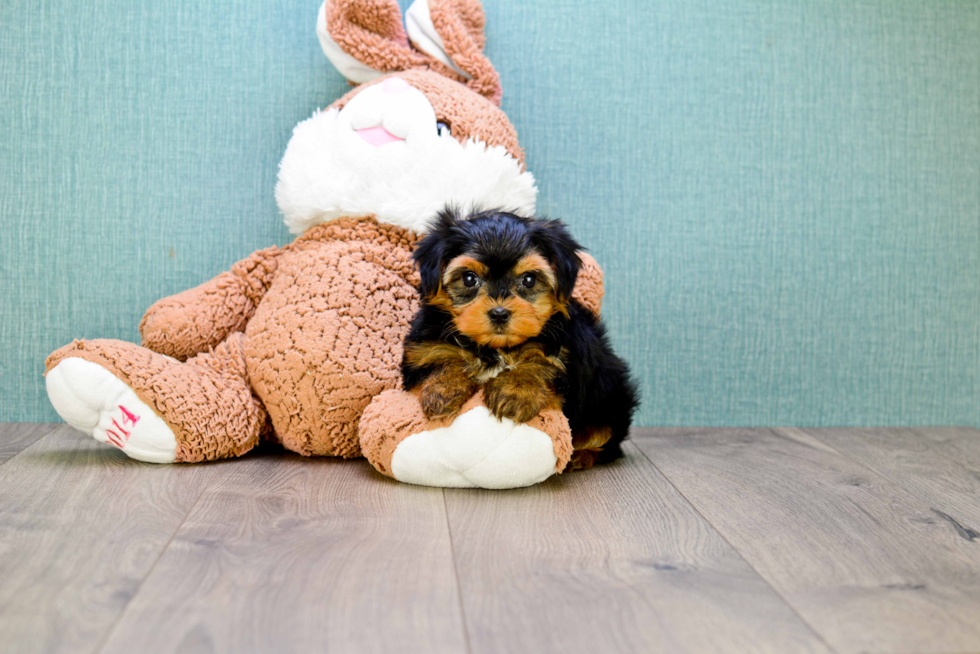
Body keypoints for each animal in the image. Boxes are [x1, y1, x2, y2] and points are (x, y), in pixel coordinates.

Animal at [402, 208, 640, 468]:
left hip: (610, 396)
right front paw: (443, 390)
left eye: (529, 279)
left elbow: (539, 362)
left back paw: (582, 455)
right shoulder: (424, 346)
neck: (495, 348)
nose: (499, 313)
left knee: (606, 437)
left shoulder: (564, 355)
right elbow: (441, 356)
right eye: (468, 279)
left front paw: (515, 392)